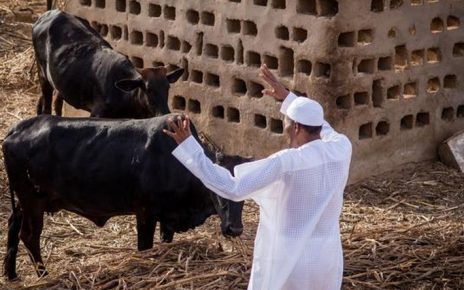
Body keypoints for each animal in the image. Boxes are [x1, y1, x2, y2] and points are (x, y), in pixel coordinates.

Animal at [2, 114, 246, 280]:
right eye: (218, 189)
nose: (234, 229)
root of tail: (17, 129)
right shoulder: (146, 212)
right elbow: (145, 247)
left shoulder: (168, 217)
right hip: (33, 202)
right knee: (29, 235)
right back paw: (43, 275)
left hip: (25, 203)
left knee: (13, 225)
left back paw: (11, 273)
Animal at [30, 9, 182, 118]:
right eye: (148, 89)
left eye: (168, 87)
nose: (164, 113)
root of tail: (48, 14)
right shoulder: (97, 113)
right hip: (42, 74)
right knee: (46, 106)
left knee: (56, 102)